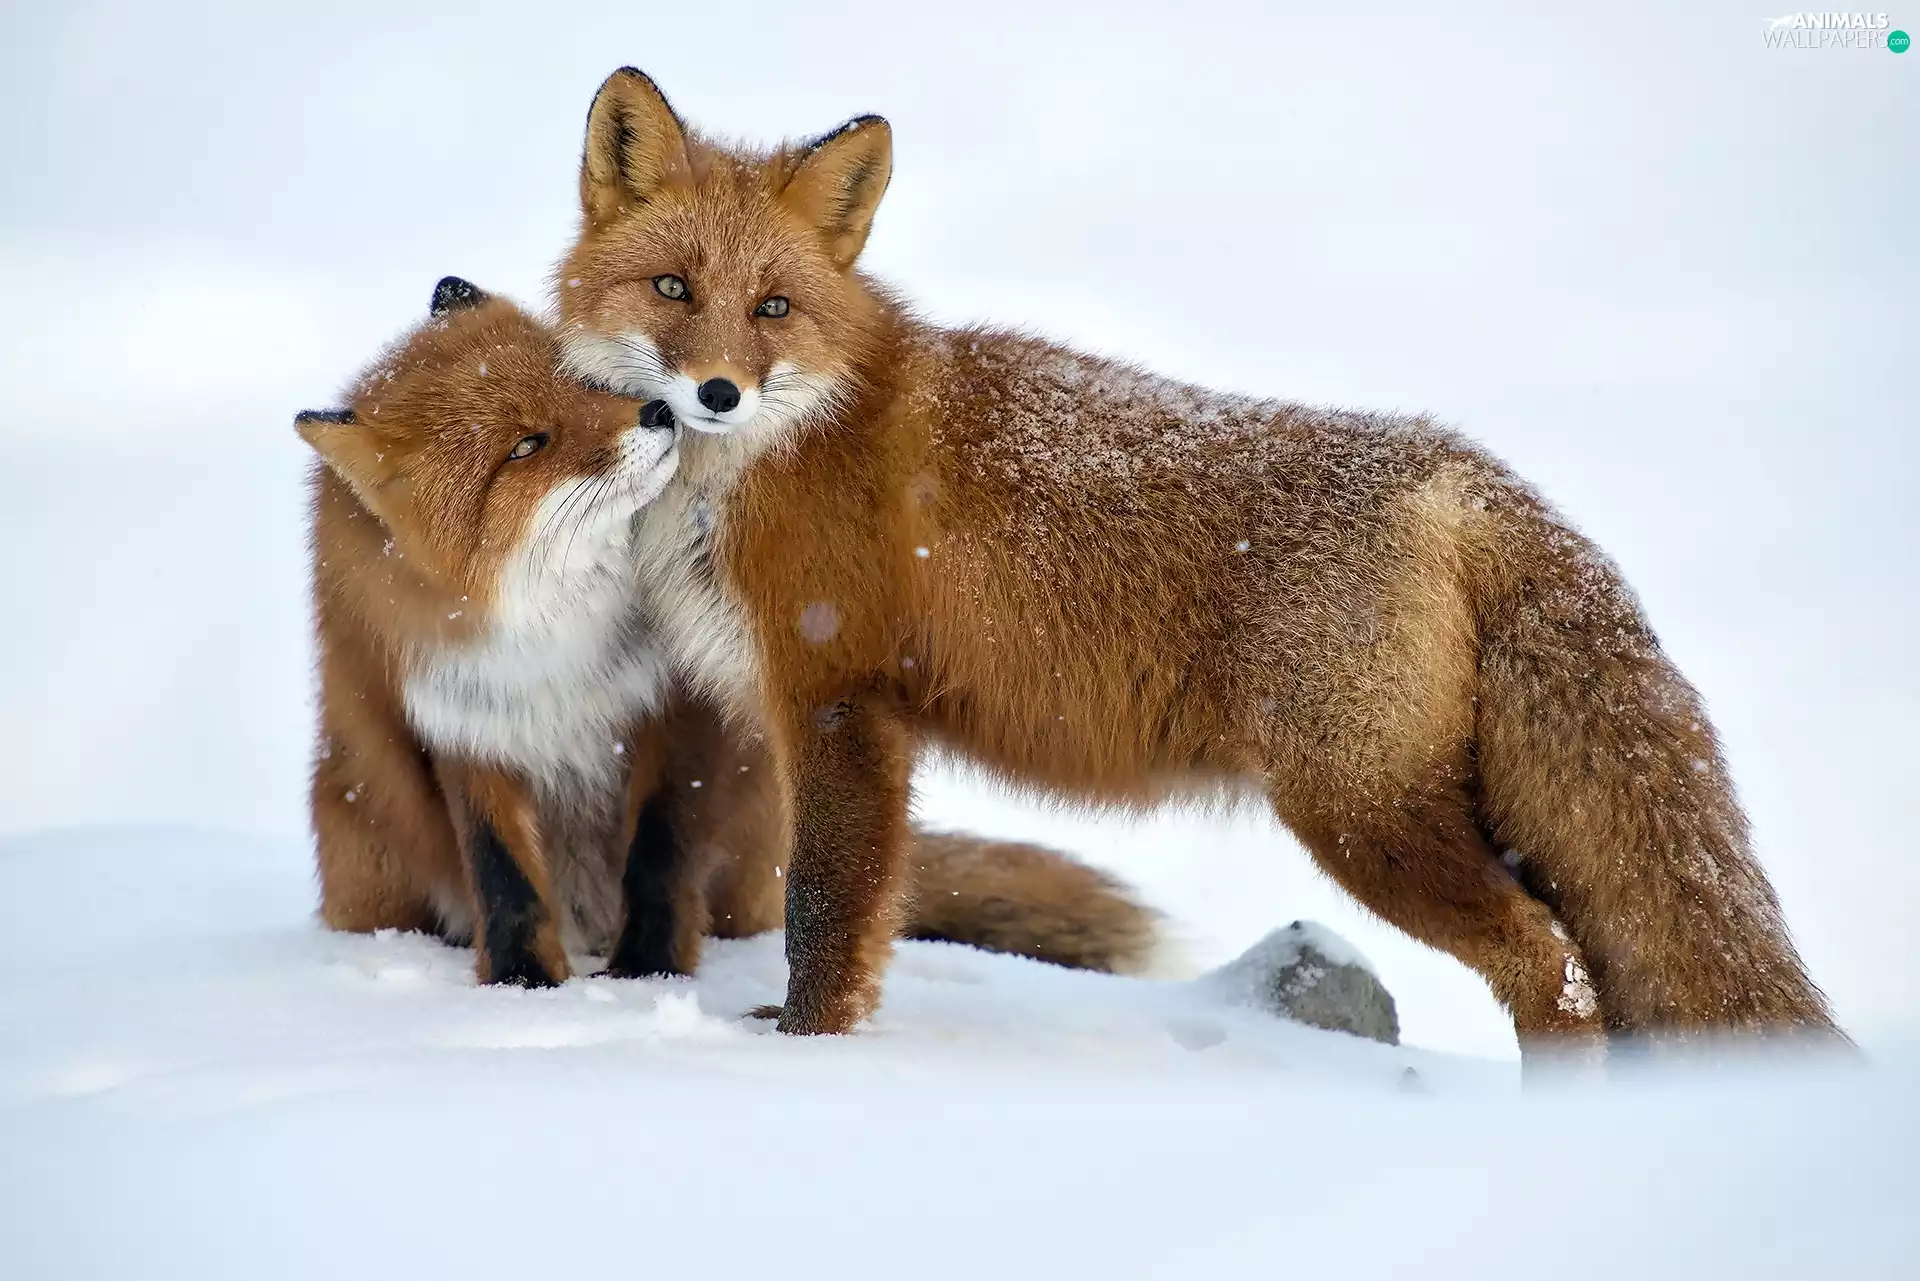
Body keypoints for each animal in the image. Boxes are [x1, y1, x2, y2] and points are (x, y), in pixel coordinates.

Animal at [299, 277, 1160, 988]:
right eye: (525, 445)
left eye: (584, 382)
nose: (658, 412)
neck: (559, 642)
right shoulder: (470, 725)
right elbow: (504, 878)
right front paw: (525, 989)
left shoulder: (680, 709)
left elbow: (662, 854)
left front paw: (646, 976)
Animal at [550, 67, 1843, 1053]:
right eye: (673, 288)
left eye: (772, 307)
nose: (717, 393)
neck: (774, 456)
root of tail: (1461, 472)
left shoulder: (839, 700)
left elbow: (825, 915)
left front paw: (806, 1059)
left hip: (1360, 817)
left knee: (1553, 965)